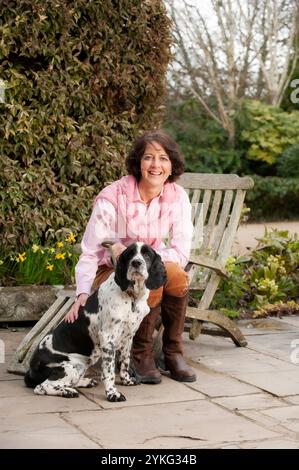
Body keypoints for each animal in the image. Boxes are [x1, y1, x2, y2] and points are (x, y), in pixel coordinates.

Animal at [24, 244, 168, 402]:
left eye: (147, 255)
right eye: (130, 255)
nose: (136, 263)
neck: (132, 298)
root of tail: (31, 368)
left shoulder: (128, 337)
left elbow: (125, 362)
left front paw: (126, 380)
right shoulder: (108, 337)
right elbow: (109, 372)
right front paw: (113, 394)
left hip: (80, 365)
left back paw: (84, 382)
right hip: (69, 366)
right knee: (42, 387)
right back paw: (68, 392)